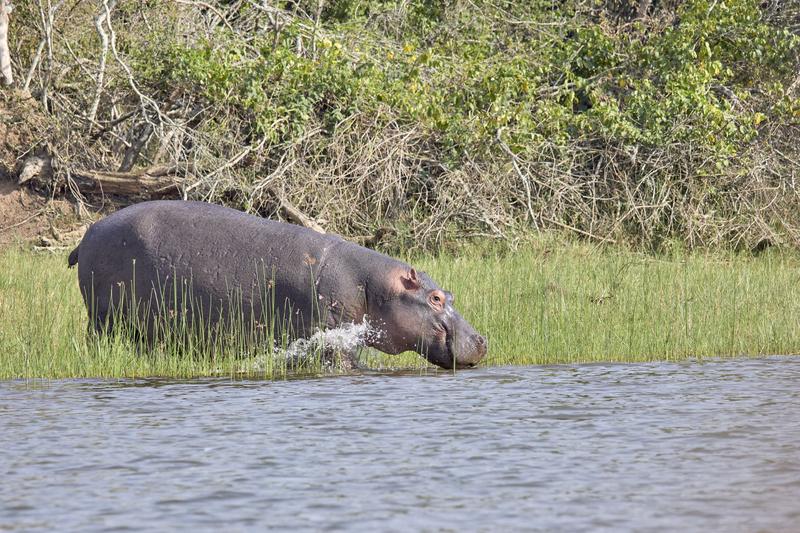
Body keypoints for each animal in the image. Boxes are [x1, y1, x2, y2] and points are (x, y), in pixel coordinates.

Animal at [67, 198, 488, 366]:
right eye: (435, 298)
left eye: (450, 293)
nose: (482, 340)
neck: (376, 285)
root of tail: (89, 231)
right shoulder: (333, 337)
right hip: (102, 319)